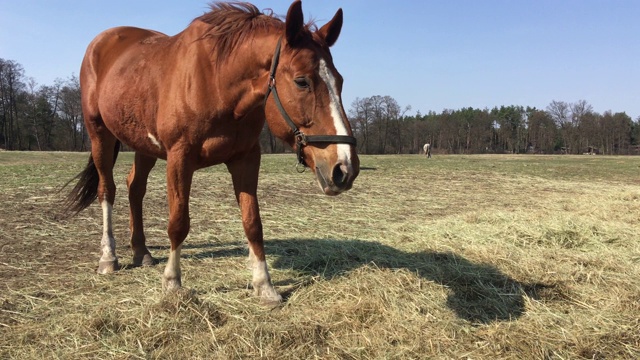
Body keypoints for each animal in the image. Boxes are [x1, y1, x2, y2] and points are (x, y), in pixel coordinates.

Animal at [65, 1, 360, 302]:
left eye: (339, 81)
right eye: (302, 82)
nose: (344, 168)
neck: (217, 81)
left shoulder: (246, 159)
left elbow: (253, 223)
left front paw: (264, 286)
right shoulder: (179, 158)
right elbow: (178, 223)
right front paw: (172, 282)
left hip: (143, 144)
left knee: (135, 187)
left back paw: (141, 251)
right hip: (99, 134)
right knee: (107, 191)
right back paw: (108, 258)